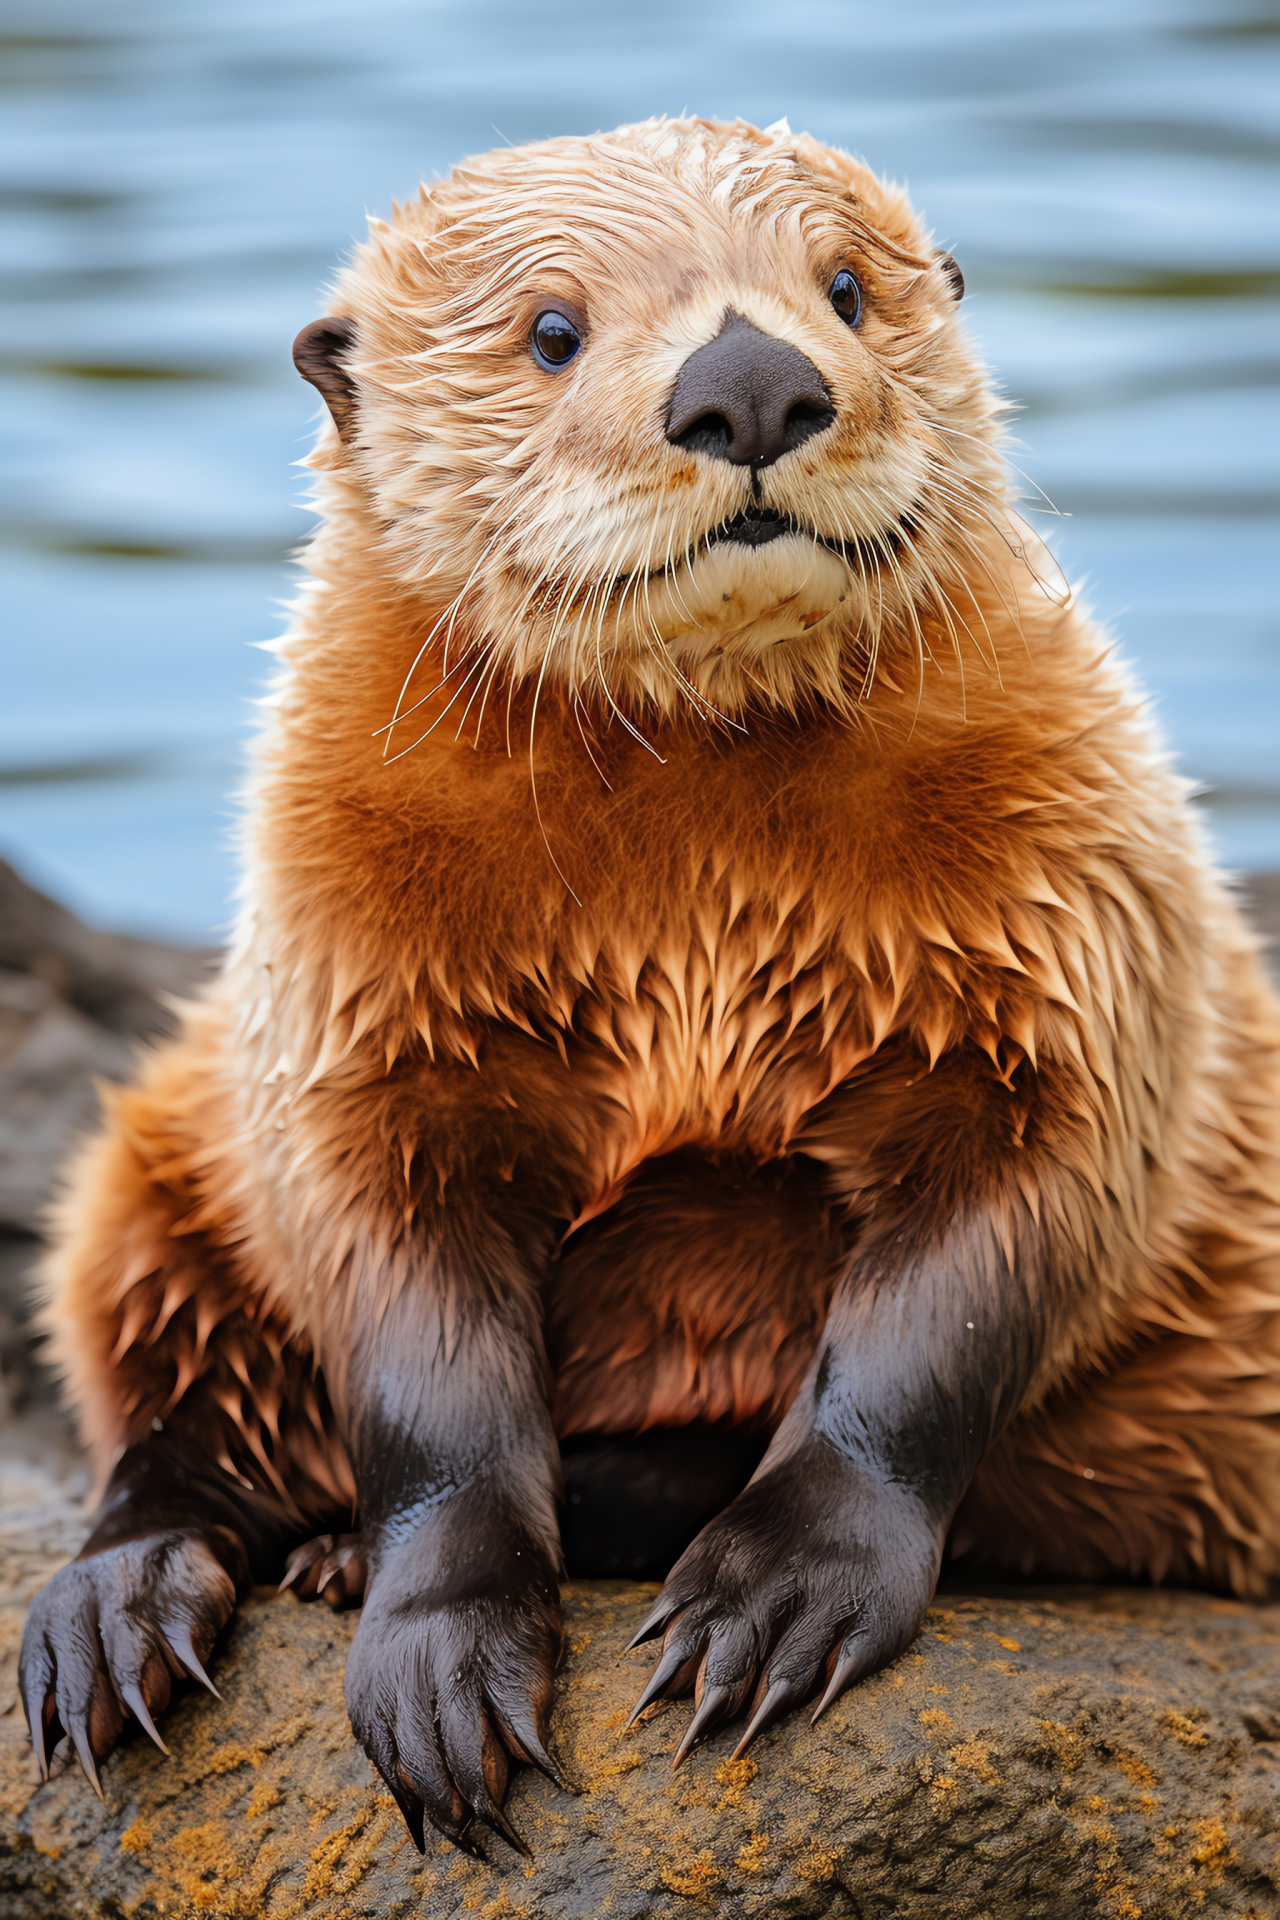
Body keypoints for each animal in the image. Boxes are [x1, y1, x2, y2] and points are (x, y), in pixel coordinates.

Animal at [17, 112, 1280, 1850]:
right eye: (553, 329)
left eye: (846, 288)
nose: (751, 380)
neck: (692, 920)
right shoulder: (349, 1032)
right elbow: (416, 1360)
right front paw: (441, 1656)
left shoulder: (1072, 970)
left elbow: (959, 1301)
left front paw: (775, 1598)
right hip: (159, 1147)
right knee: (159, 1393)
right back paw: (124, 1611)